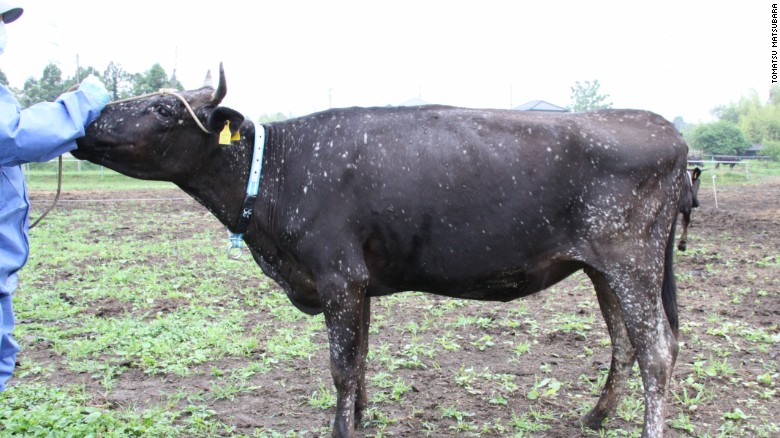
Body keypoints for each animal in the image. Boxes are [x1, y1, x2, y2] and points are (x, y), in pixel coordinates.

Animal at [73, 65, 690, 437]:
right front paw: (362, 420)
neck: (277, 176)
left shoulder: (338, 275)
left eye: (166, 110)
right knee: (625, 343)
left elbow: (342, 366)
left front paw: (342, 427)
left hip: (630, 260)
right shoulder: (359, 282)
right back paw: (596, 416)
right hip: (602, 268)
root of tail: (662, 127)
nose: (91, 120)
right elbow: (362, 358)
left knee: (657, 350)